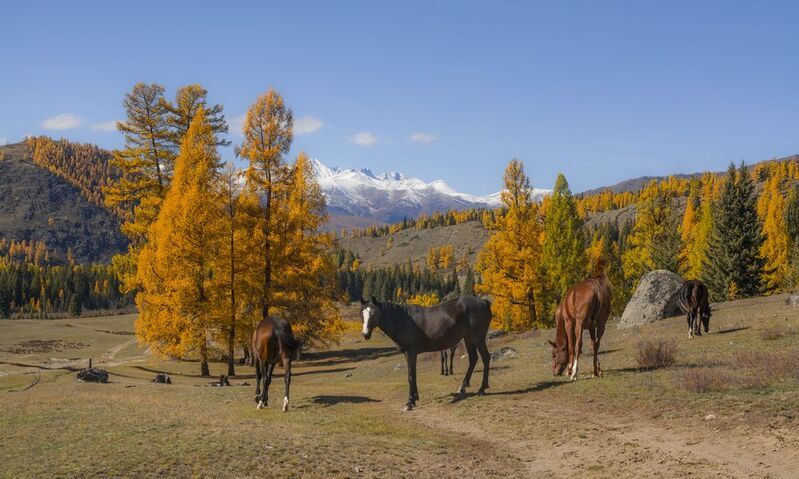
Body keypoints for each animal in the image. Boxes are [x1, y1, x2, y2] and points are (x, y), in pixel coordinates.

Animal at [360, 295, 492, 411]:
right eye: (362, 314)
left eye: (373, 313)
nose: (365, 334)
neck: (402, 321)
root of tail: (484, 302)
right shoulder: (408, 353)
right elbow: (413, 374)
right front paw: (415, 398)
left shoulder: (411, 351)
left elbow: (410, 376)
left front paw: (410, 403)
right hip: (468, 339)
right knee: (473, 359)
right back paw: (463, 387)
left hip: (478, 338)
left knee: (485, 357)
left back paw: (482, 388)